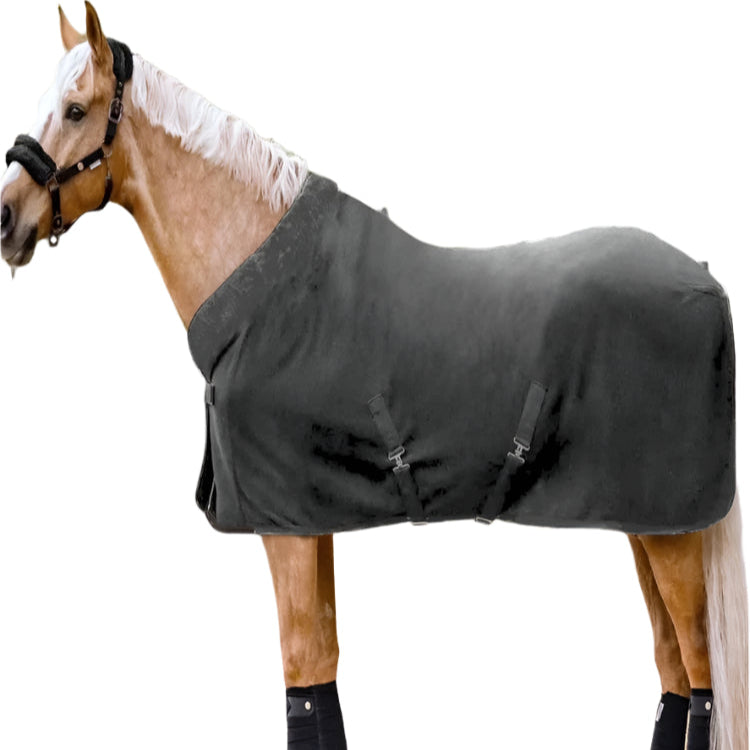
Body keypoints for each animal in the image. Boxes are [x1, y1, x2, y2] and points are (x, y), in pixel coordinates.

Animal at [1, 4, 747, 749]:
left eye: (74, 109)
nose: (6, 218)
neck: (269, 291)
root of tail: (707, 282)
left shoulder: (284, 524)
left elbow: (302, 671)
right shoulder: (310, 515)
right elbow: (323, 669)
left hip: (671, 532)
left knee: (700, 677)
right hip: (645, 524)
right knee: (672, 668)